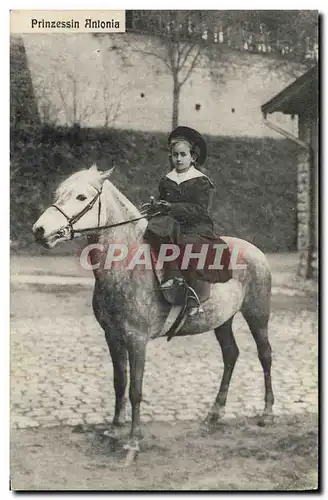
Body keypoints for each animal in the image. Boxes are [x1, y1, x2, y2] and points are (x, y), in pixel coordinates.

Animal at [32, 166, 274, 462]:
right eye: (58, 194)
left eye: (81, 197)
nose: (39, 230)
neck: (128, 263)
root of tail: (255, 250)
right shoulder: (113, 336)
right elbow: (119, 382)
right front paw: (114, 428)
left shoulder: (137, 339)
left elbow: (135, 390)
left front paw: (133, 443)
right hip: (222, 320)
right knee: (230, 354)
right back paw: (214, 413)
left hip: (257, 313)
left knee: (265, 355)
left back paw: (267, 413)